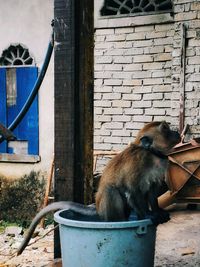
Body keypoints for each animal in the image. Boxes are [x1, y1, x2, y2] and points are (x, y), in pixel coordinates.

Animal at [17, 121, 180, 255]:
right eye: (165, 129)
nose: (176, 132)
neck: (152, 155)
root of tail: (98, 207)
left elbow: (152, 191)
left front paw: (157, 211)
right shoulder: (137, 162)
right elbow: (133, 190)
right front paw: (148, 215)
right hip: (105, 208)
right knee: (111, 191)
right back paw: (120, 222)